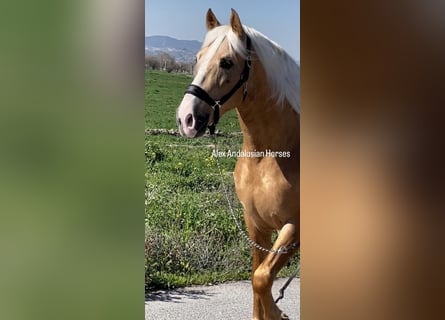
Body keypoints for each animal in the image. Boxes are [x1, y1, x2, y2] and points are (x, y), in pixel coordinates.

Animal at [175, 8, 300, 320]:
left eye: (227, 62)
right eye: (197, 58)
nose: (186, 119)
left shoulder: (294, 227)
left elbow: (262, 279)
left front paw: (279, 313)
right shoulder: (256, 225)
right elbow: (258, 278)